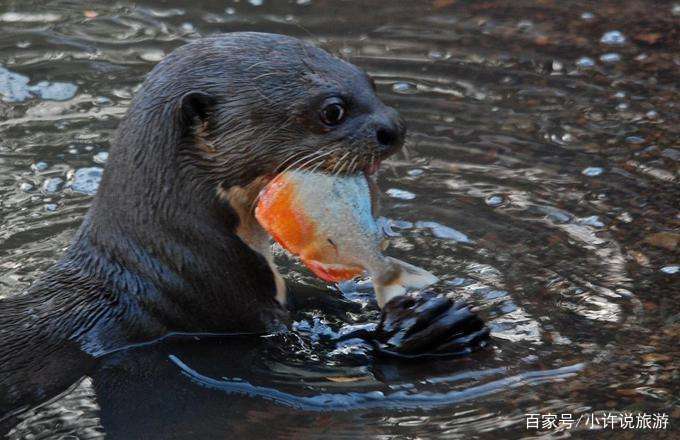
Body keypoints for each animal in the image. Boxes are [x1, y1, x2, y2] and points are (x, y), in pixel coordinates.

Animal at [0, 32, 488, 418]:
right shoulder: (222, 313)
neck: (175, 265)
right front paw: (426, 327)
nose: (395, 127)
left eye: (369, 82)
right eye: (332, 110)